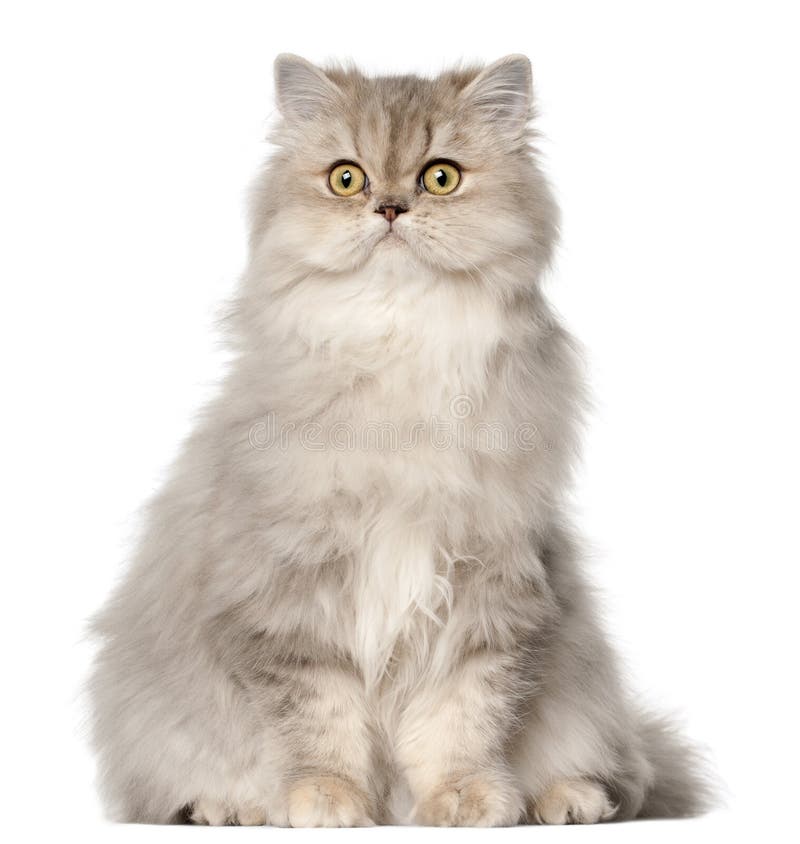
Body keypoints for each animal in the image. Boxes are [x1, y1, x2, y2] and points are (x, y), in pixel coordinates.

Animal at [87, 52, 708, 824]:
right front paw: (327, 800)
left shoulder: (487, 589)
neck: (398, 361)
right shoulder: (288, 596)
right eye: (346, 178)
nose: (388, 208)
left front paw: (465, 799)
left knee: (622, 770)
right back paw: (227, 809)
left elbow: (462, 717)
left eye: (440, 177)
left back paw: (566, 800)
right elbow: (320, 719)